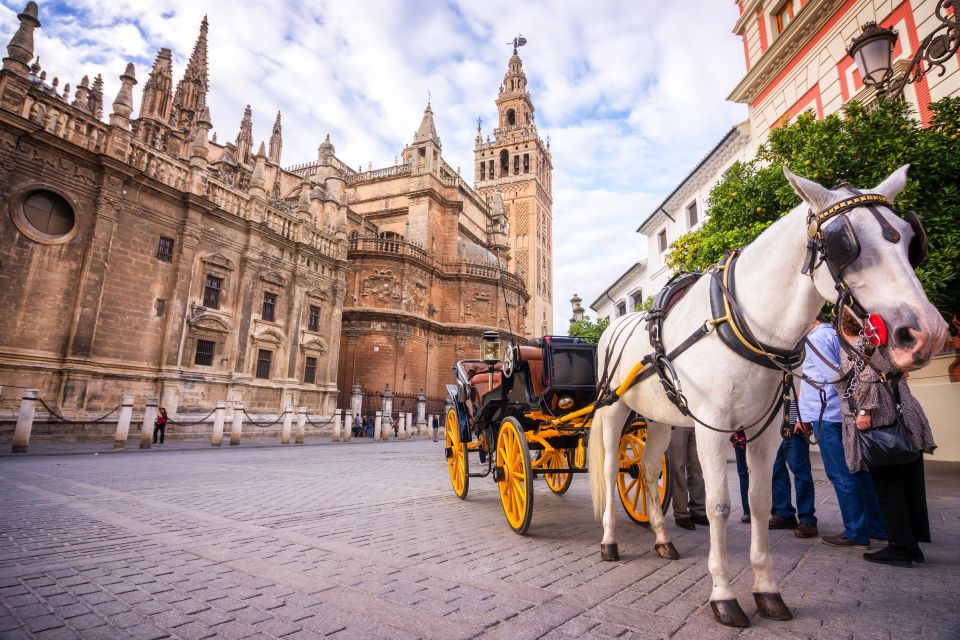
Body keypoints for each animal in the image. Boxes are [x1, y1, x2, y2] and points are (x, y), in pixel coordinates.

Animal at [584, 166, 944, 632]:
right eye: (843, 242)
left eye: (909, 238)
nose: (926, 332)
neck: (743, 323)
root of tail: (614, 328)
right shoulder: (711, 426)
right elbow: (719, 505)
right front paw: (723, 595)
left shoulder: (767, 429)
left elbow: (758, 501)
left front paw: (767, 591)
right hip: (614, 410)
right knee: (612, 469)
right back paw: (609, 541)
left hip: (660, 417)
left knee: (646, 469)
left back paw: (662, 538)